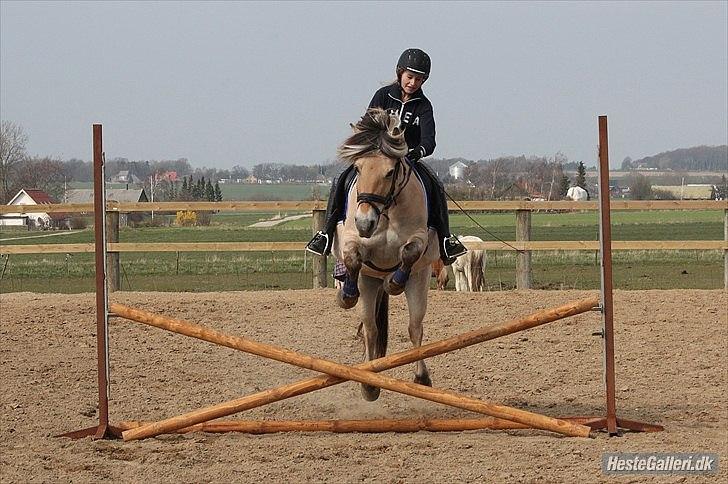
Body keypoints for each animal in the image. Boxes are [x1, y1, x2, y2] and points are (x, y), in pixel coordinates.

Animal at [332, 108, 440, 400]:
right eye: (358, 168)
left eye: (390, 172)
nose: (364, 222)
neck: (387, 209)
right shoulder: (352, 239)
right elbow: (353, 258)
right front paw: (346, 295)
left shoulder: (419, 238)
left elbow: (410, 252)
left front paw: (394, 283)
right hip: (369, 283)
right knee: (371, 329)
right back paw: (369, 383)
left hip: (420, 282)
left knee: (415, 327)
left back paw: (421, 377)